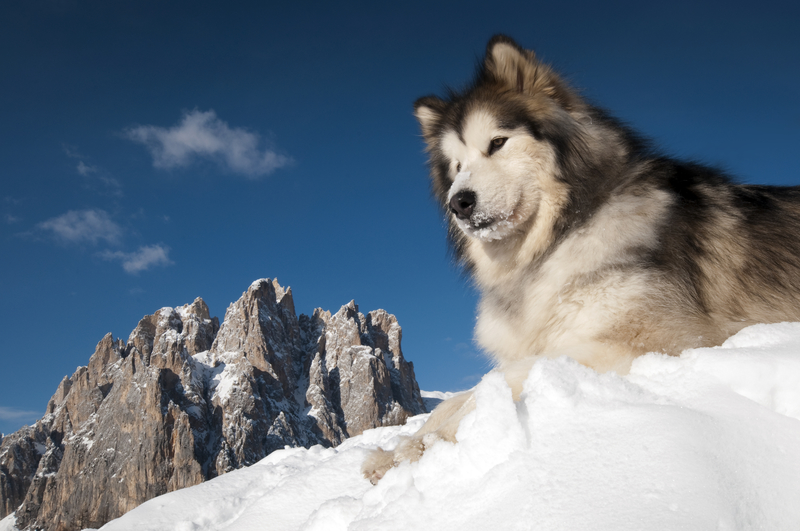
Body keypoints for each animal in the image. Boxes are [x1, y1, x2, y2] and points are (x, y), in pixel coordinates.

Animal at [362, 32, 800, 482]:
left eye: (497, 143)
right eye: (455, 166)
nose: (458, 203)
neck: (554, 243)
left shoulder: (661, 341)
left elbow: (495, 381)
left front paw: (422, 446)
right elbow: (460, 395)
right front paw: (394, 449)